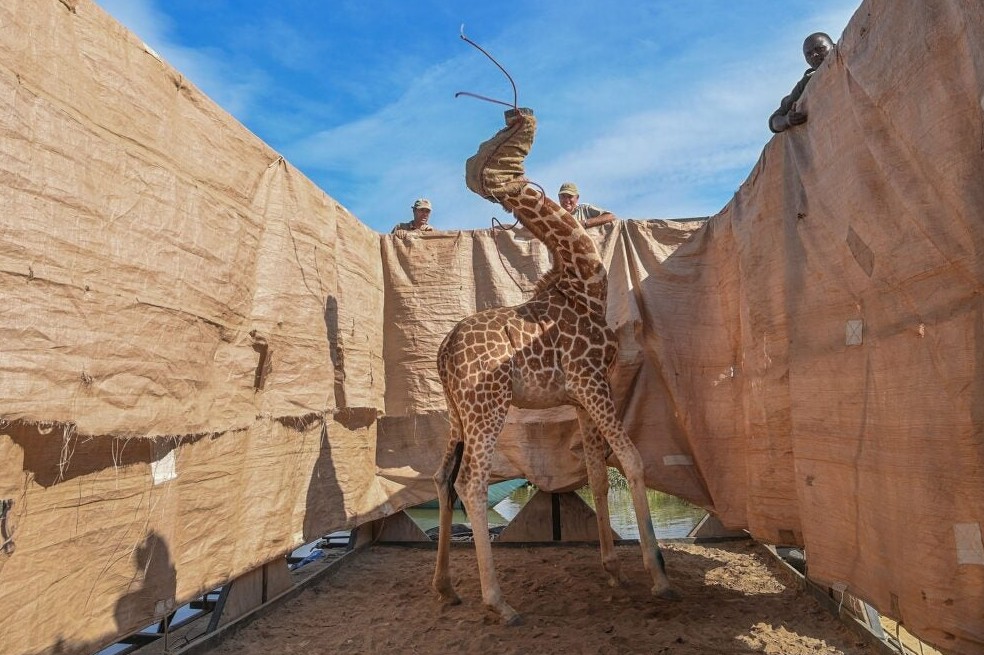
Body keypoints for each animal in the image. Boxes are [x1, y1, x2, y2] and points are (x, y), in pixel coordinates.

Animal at [432, 107, 678, 625]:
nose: (521, 114)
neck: (584, 284)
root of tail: (443, 352)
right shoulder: (592, 381)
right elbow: (632, 459)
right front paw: (658, 576)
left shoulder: (583, 394)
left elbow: (599, 474)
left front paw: (612, 570)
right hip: (487, 407)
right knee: (472, 483)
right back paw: (499, 602)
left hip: (456, 414)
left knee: (443, 478)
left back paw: (445, 588)